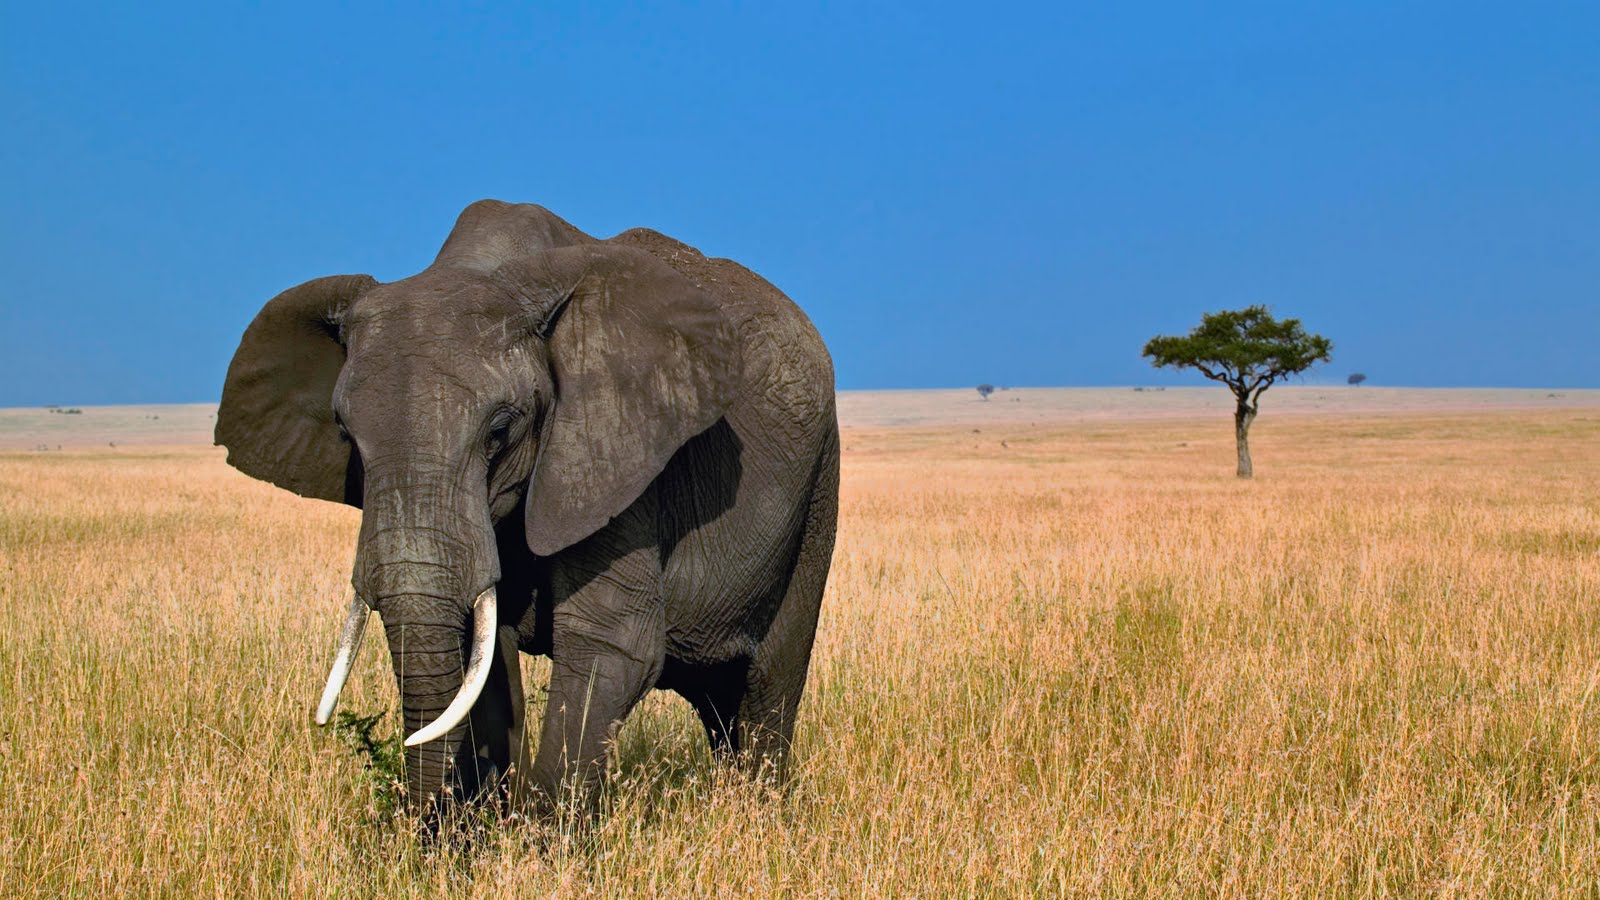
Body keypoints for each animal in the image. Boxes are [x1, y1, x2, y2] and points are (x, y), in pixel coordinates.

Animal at [215, 200, 839, 817]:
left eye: (499, 432)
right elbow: (485, 658)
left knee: (765, 687)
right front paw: (478, 830)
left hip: (817, 490)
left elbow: (612, 642)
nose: (425, 825)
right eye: (346, 435)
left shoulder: (613, 451)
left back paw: (757, 813)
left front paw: (540, 838)